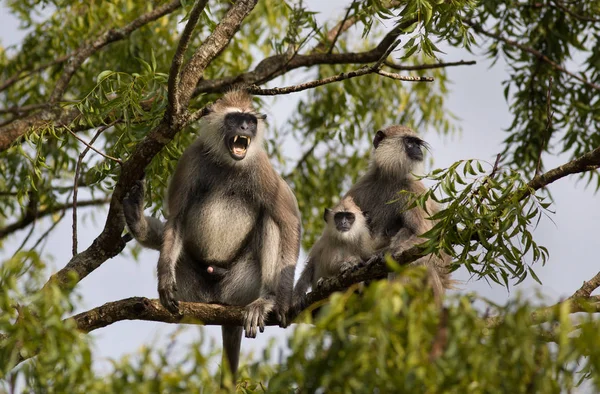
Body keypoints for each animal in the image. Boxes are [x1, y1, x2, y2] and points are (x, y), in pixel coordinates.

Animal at [122, 90, 300, 378]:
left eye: (250, 121)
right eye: (235, 119)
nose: (244, 128)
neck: (228, 164)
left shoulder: (261, 166)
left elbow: (289, 221)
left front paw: (281, 301)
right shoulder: (191, 158)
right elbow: (176, 218)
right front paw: (164, 279)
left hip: (242, 283)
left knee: (270, 220)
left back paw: (267, 299)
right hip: (192, 287)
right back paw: (137, 220)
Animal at [344, 124, 452, 300]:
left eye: (417, 143)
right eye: (409, 142)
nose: (417, 149)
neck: (389, 178)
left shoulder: (412, 190)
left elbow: (425, 237)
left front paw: (384, 254)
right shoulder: (360, 187)